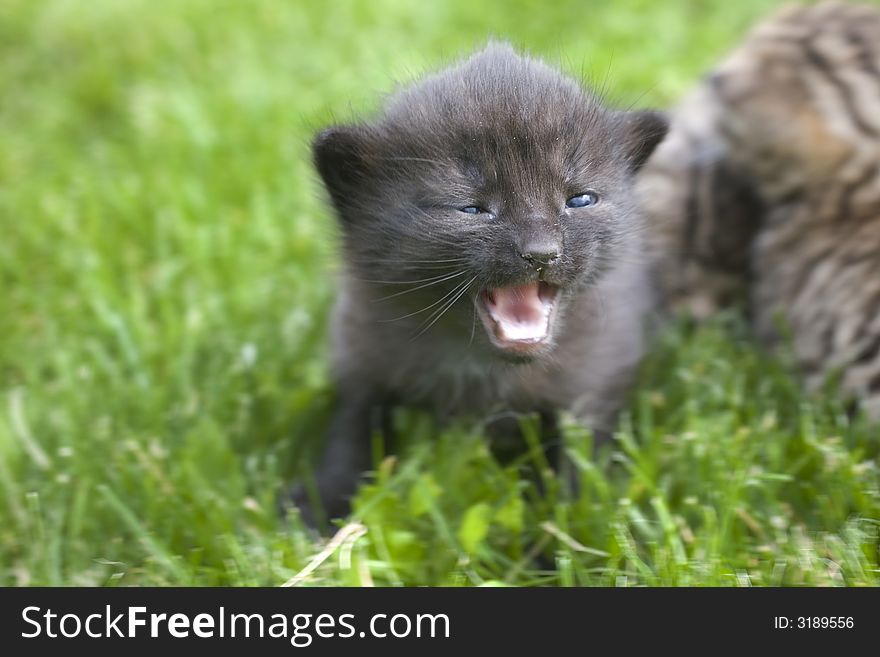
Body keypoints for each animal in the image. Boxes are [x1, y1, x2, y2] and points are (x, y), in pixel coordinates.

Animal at [292, 43, 664, 524]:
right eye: (470, 208)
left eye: (580, 199)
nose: (542, 252)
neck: (484, 370)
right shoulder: (360, 349)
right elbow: (352, 425)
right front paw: (321, 503)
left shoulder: (596, 376)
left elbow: (580, 459)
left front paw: (569, 525)